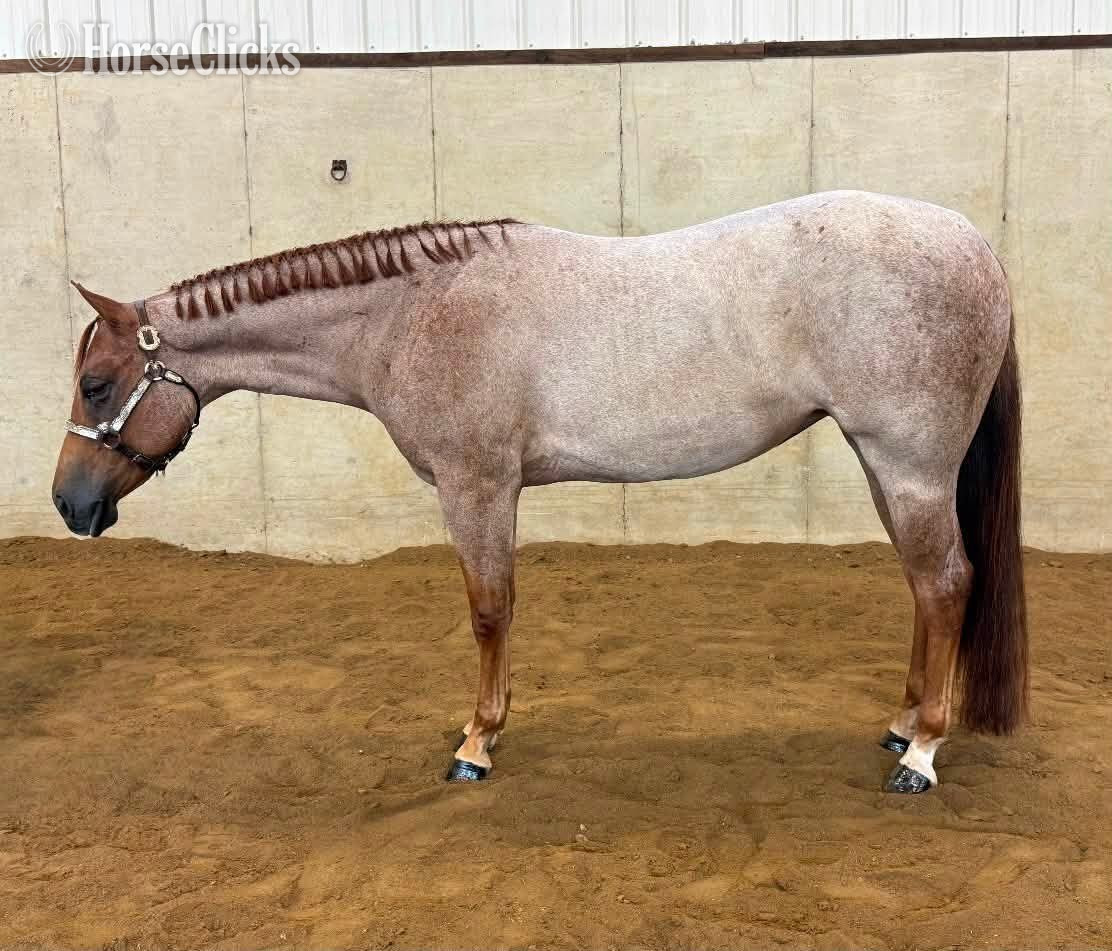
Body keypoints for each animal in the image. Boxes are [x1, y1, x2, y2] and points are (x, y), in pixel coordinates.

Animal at [52, 190, 1027, 793]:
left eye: (96, 385)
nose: (69, 503)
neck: (415, 311)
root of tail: (976, 244)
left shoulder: (475, 484)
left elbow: (490, 609)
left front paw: (476, 744)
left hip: (908, 465)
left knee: (946, 584)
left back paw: (922, 753)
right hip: (882, 463)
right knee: (923, 588)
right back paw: (902, 723)